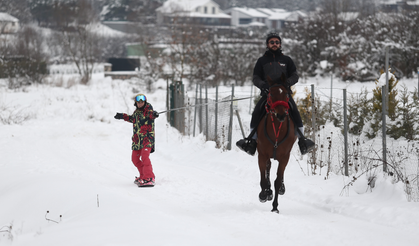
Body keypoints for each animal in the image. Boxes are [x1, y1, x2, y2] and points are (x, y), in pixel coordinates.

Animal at [258, 81, 296, 212]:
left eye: (286, 94)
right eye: (271, 94)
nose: (281, 115)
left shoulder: (285, 157)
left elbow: (278, 181)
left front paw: (275, 207)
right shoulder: (262, 155)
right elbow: (263, 178)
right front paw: (264, 194)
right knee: (267, 169)